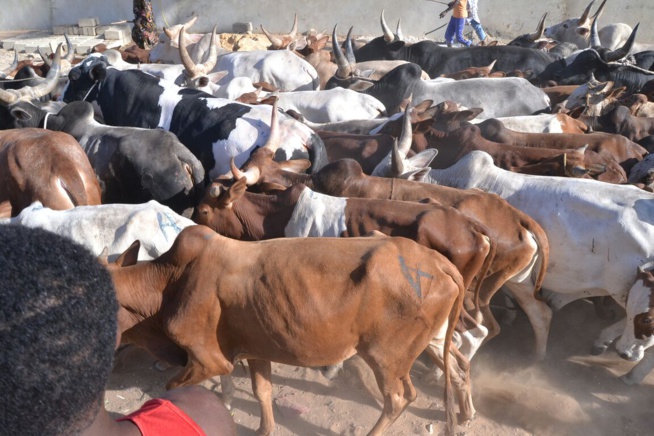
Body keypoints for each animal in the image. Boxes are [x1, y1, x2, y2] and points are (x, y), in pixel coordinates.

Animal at [107, 225, 468, 436]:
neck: (169, 280)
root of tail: (438, 262)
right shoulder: (253, 348)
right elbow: (261, 392)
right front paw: (263, 429)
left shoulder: (206, 359)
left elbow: (171, 388)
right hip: (425, 346)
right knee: (449, 373)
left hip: (384, 356)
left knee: (397, 399)